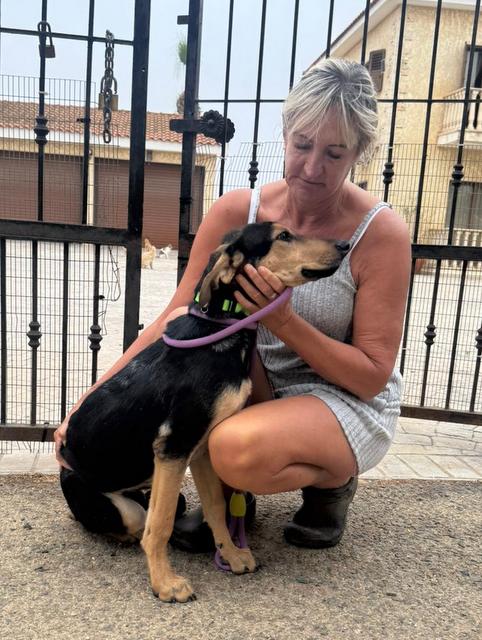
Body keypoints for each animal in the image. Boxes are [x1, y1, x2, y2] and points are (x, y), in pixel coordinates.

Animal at [59, 222, 349, 603]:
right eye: (283, 236)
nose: (345, 244)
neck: (219, 331)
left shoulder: (202, 450)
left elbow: (216, 508)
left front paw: (233, 555)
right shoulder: (174, 447)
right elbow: (161, 523)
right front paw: (164, 583)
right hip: (119, 504)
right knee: (136, 522)